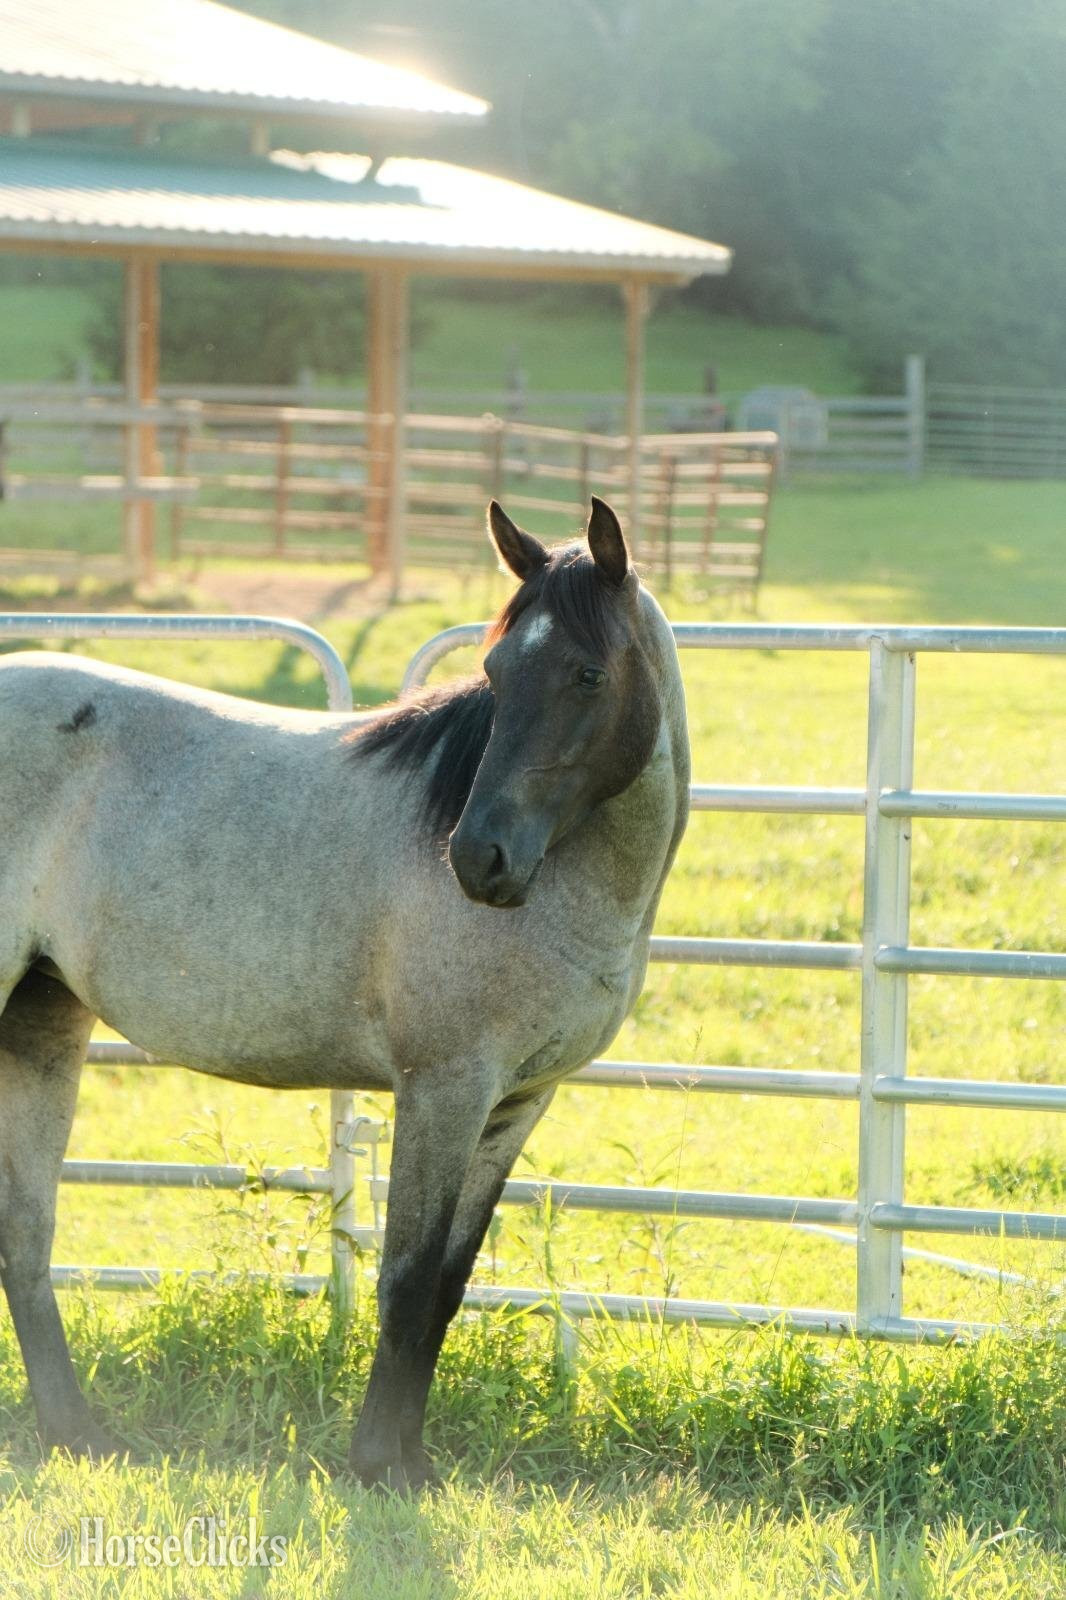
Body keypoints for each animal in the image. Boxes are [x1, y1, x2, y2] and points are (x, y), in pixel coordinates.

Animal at [0, 496, 689, 1489]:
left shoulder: (517, 1104)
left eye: (588, 674)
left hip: (43, 1022)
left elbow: (446, 1285)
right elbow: (405, 1278)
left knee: (26, 1236)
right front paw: (378, 1468)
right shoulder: (442, 1090)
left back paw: (75, 1435)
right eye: (494, 670)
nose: (478, 859)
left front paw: (412, 1459)